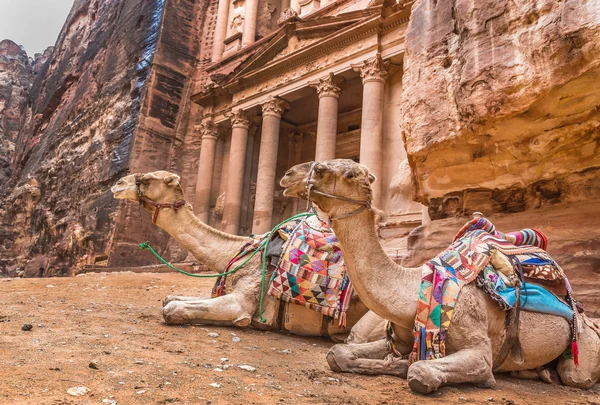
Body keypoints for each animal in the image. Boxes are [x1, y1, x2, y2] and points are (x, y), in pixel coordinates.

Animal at [109, 169, 370, 340]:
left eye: (147, 179)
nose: (117, 183)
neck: (236, 251)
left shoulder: (241, 300)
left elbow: (172, 310)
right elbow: (169, 299)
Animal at [282, 158, 600, 392]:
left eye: (348, 173)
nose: (290, 173)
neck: (412, 292)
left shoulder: (477, 346)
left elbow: (422, 370)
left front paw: (408, 367)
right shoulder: (400, 335)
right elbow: (338, 353)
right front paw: (394, 363)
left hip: (582, 346)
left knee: (576, 376)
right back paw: (537, 372)